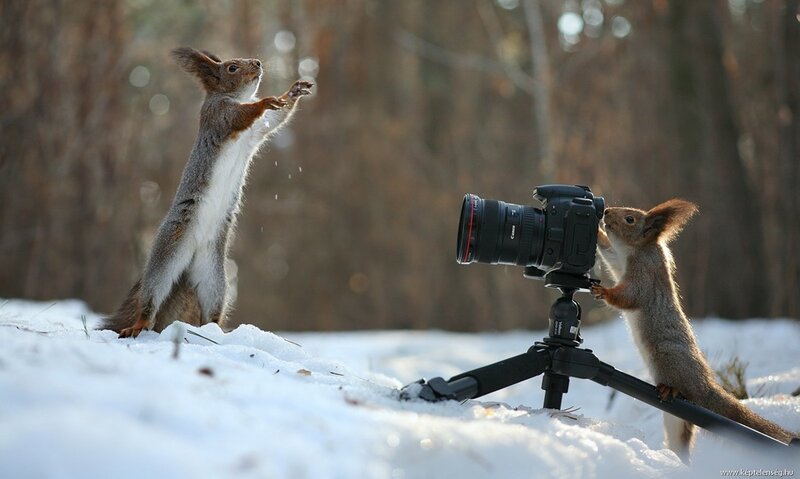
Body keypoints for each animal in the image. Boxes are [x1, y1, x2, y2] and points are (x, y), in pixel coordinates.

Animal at [101, 47, 313, 338]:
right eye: (232, 67)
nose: (258, 63)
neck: (235, 97)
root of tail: (190, 260)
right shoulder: (218, 116)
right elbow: (240, 116)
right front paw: (265, 101)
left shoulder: (256, 132)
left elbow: (275, 120)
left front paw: (293, 92)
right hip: (168, 255)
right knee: (152, 296)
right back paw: (139, 325)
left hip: (214, 278)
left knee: (211, 310)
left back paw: (217, 332)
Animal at [591, 199, 795, 461]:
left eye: (630, 219)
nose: (606, 212)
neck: (637, 250)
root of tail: (704, 386)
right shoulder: (619, 261)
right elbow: (609, 253)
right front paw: (598, 233)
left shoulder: (644, 276)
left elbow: (628, 296)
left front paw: (603, 292)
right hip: (676, 420)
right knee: (681, 439)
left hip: (669, 360)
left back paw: (670, 390)